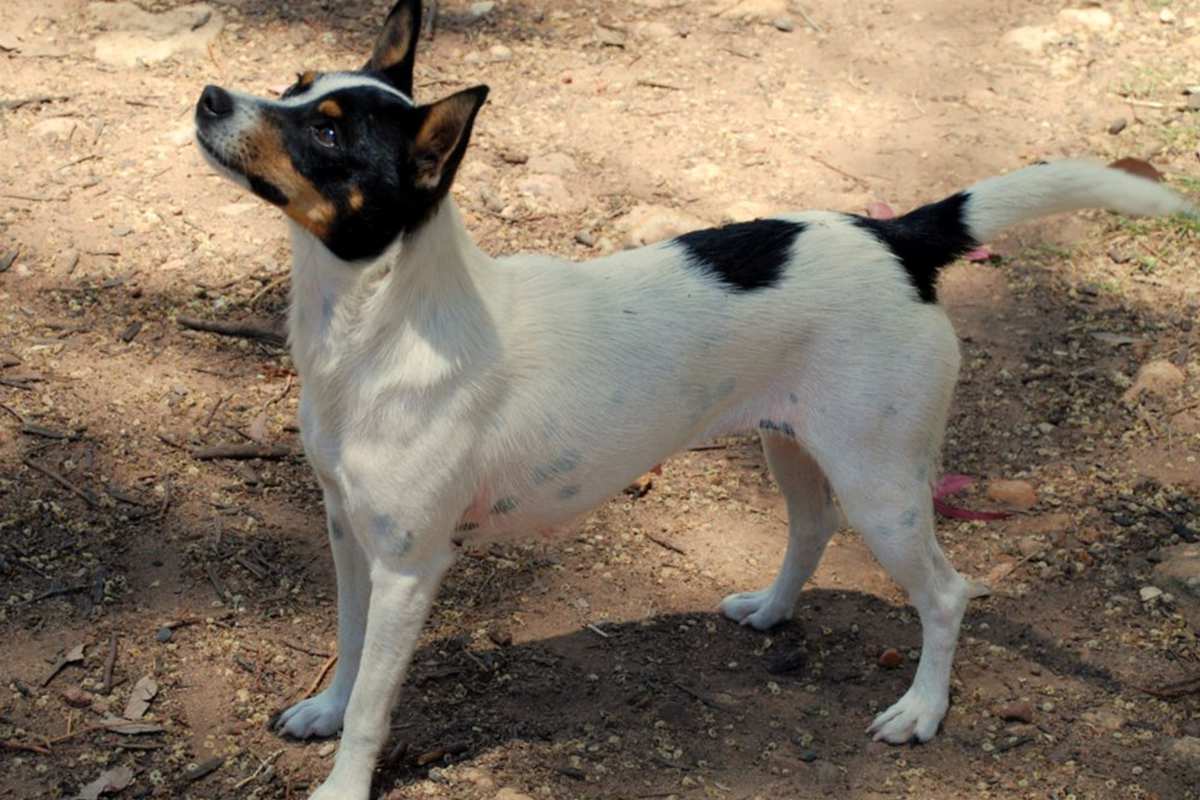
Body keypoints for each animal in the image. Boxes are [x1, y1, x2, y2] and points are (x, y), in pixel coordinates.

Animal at [189, 1, 1190, 796]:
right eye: (294, 84)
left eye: (327, 134)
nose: (208, 98)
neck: (377, 328)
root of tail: (899, 237)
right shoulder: (347, 534)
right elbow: (349, 647)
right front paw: (323, 709)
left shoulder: (409, 567)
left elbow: (376, 700)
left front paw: (342, 781)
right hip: (794, 445)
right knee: (811, 529)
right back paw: (773, 611)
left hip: (885, 486)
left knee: (945, 595)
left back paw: (920, 709)